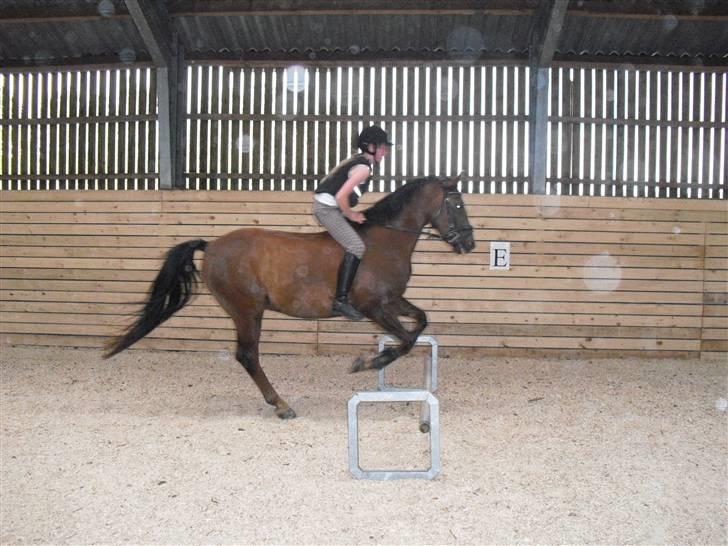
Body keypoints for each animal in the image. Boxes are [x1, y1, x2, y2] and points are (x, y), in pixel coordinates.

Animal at [104, 173, 476, 419]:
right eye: (457, 203)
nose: (469, 243)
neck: (386, 240)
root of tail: (211, 246)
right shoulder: (373, 306)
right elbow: (407, 341)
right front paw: (368, 363)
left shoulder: (392, 302)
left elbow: (420, 322)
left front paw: (374, 360)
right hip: (247, 310)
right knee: (248, 356)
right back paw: (281, 405)